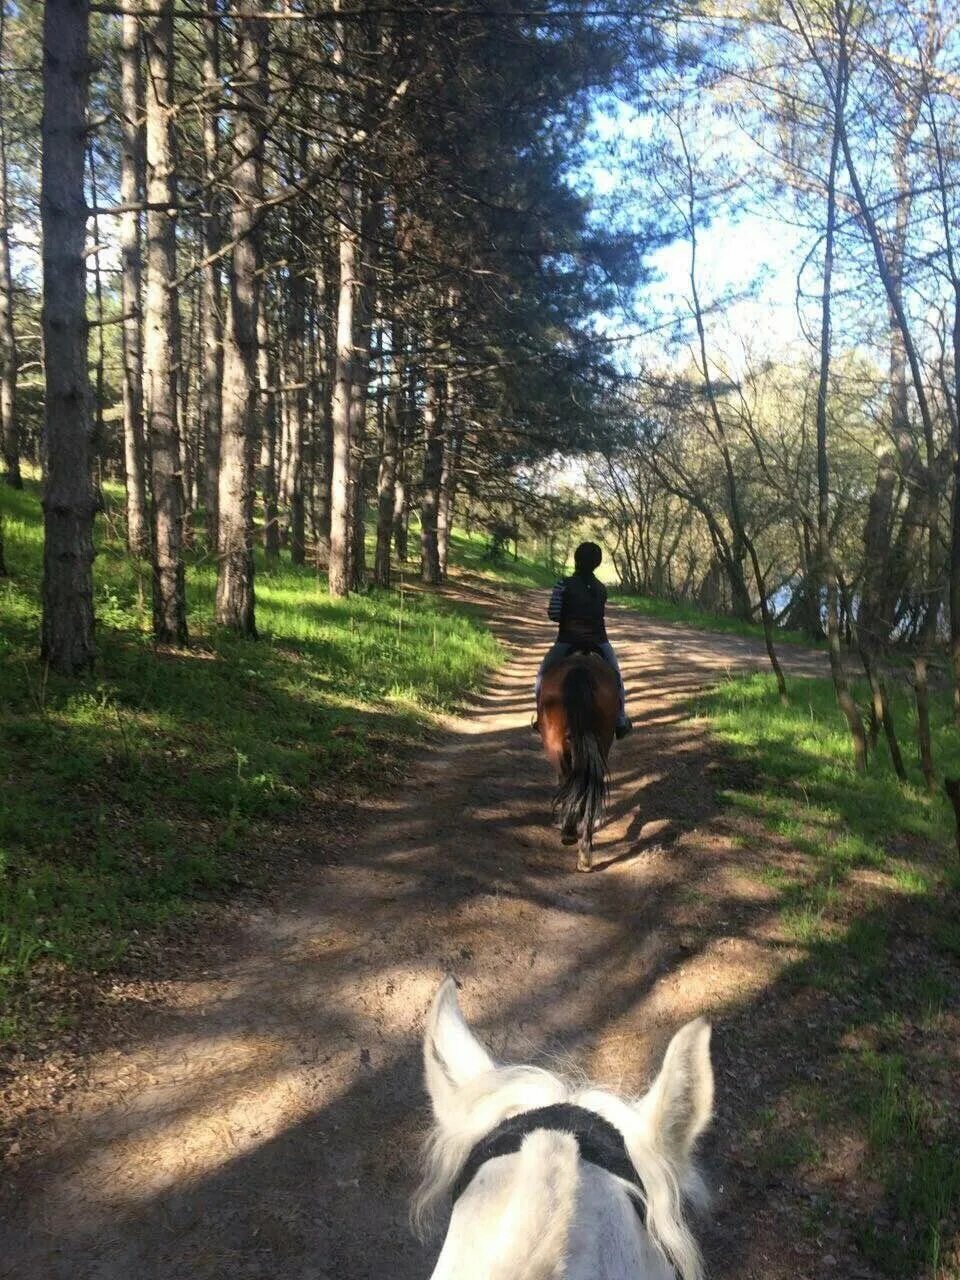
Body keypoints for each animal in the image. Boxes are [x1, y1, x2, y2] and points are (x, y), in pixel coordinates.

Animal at [537, 650, 619, 870]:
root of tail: (580, 670)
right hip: (602, 741)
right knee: (590, 783)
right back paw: (585, 852)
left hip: (555, 745)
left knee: (568, 777)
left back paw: (568, 832)